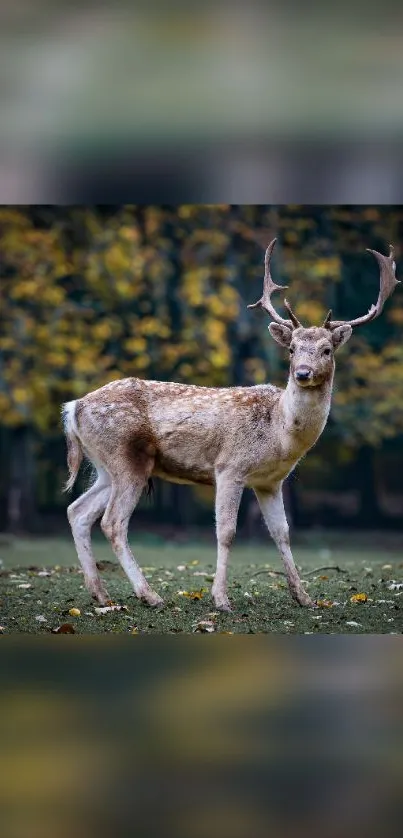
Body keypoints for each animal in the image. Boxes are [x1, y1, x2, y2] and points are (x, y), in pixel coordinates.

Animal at [63, 240, 400, 612]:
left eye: (327, 350)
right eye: (292, 349)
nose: (302, 373)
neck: (279, 434)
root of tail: (73, 407)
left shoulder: (270, 482)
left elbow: (282, 533)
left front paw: (304, 597)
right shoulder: (229, 467)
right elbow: (226, 532)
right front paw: (221, 599)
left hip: (105, 466)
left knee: (78, 511)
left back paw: (101, 594)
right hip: (127, 459)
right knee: (112, 522)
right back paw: (149, 595)